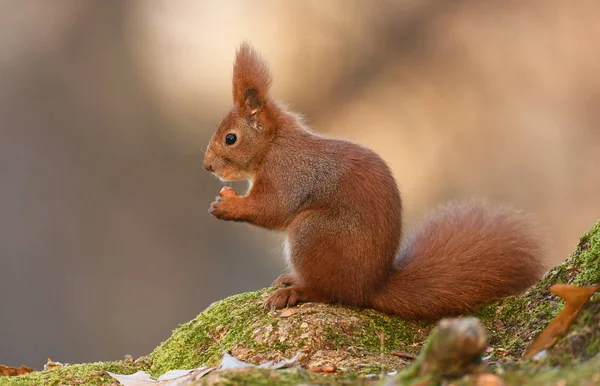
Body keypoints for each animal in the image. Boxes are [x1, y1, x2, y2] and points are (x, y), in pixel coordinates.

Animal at [204, 43, 548, 320]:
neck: (273, 144)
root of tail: (370, 287)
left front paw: (227, 205)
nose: (207, 166)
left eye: (231, 138)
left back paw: (297, 291)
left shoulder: (288, 173)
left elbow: (272, 208)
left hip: (312, 232)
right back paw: (292, 280)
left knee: (332, 293)